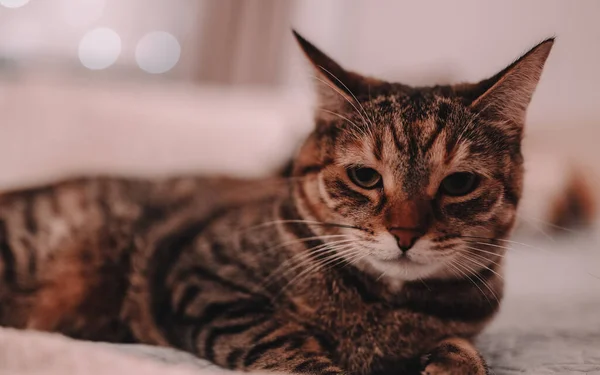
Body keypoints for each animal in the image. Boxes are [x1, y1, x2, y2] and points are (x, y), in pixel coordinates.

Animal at [0, 32, 552, 375]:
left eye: (458, 184)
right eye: (365, 177)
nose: (405, 234)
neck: (385, 308)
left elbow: (463, 349)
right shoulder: (201, 279)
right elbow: (285, 346)